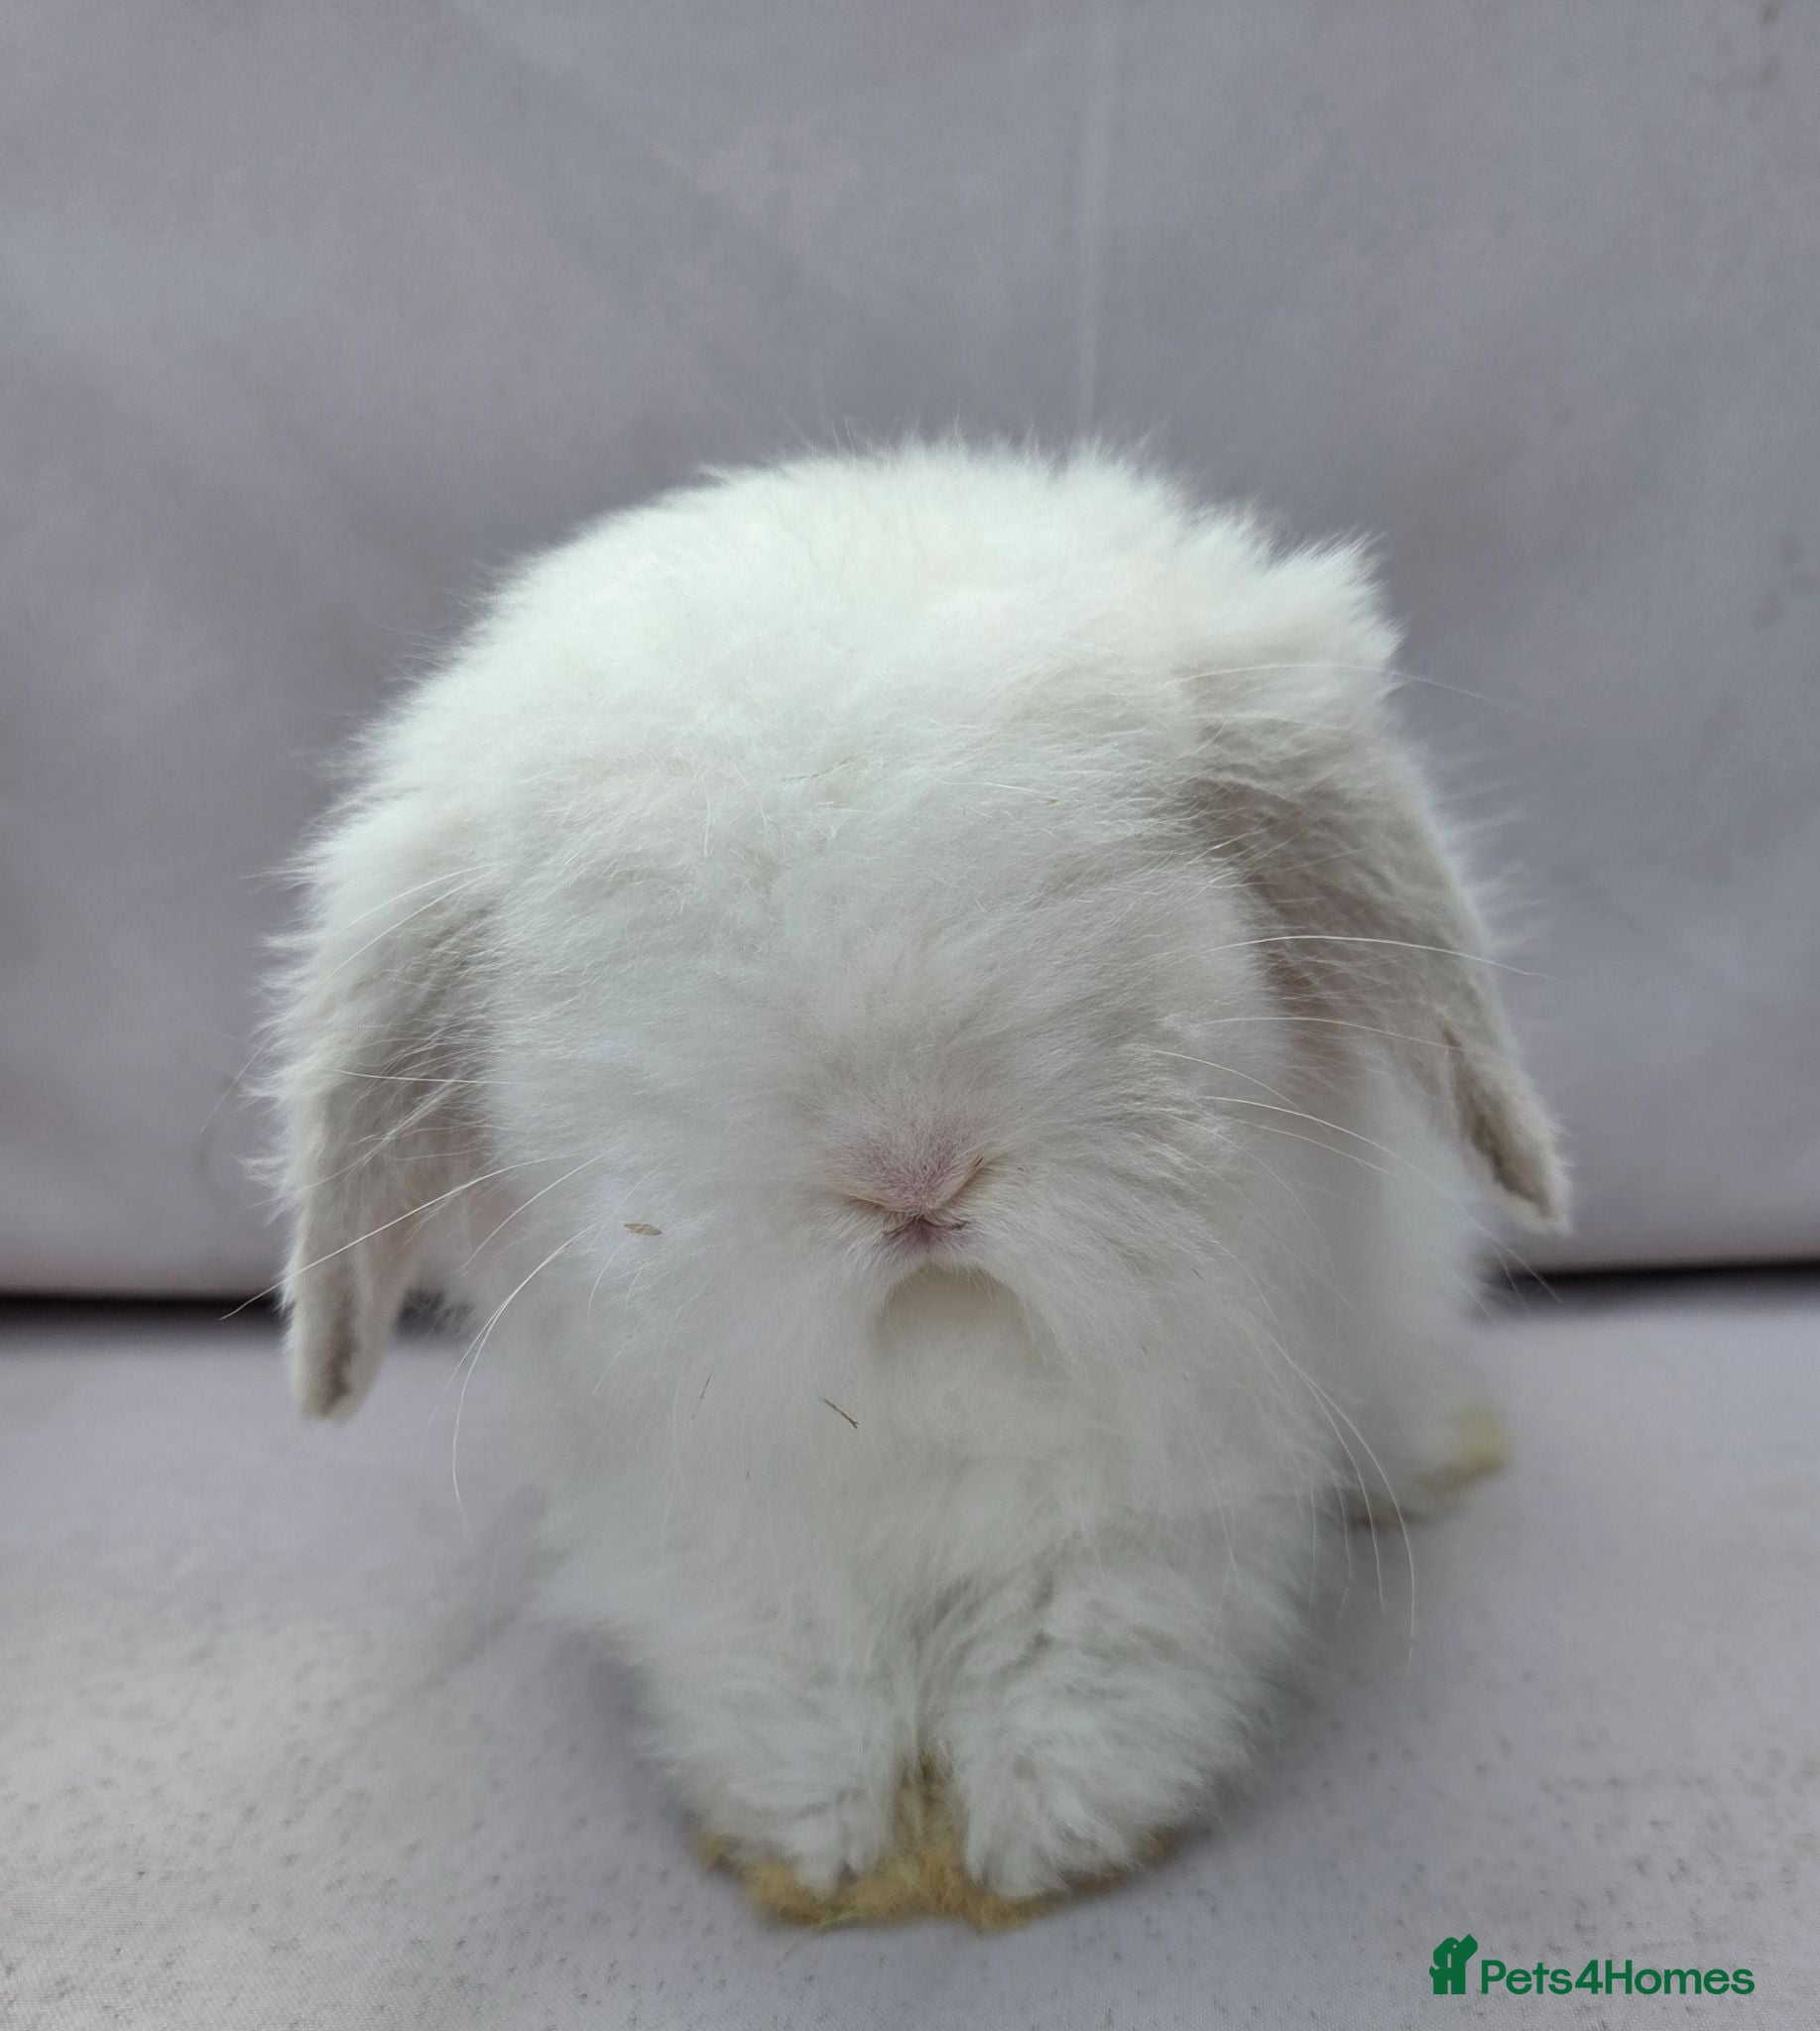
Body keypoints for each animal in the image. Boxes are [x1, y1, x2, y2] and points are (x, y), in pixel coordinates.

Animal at [271, 442, 1566, 1903]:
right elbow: (797, 1678)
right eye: (608, 964)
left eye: (1119, 860)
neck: (939, 1368)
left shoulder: (1148, 1512)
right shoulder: (720, 1533)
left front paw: (1043, 1841)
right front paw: (819, 1847)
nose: (913, 1170)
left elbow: (1080, 1663)